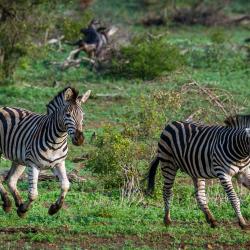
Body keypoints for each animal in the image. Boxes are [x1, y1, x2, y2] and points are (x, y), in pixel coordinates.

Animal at [0, 87, 91, 218]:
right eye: (68, 115)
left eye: (83, 115)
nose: (80, 139)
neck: (57, 141)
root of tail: (3, 107)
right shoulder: (33, 165)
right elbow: (33, 194)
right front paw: (23, 210)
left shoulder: (59, 163)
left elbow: (65, 185)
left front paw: (54, 208)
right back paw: (8, 203)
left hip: (19, 158)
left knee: (11, 180)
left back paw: (15, 202)